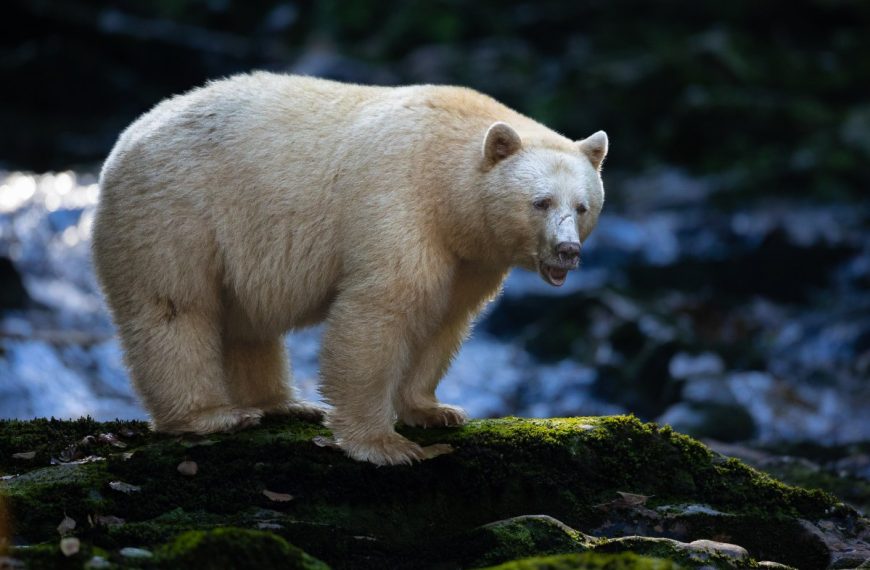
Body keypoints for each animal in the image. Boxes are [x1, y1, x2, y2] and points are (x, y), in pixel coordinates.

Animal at [91, 72, 608, 466]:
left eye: (582, 206)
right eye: (540, 202)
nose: (567, 251)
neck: (445, 179)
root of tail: (129, 135)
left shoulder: (468, 255)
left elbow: (444, 320)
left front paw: (435, 409)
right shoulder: (398, 203)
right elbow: (381, 310)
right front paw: (385, 444)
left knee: (245, 323)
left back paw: (282, 404)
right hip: (176, 212)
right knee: (175, 306)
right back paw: (211, 415)